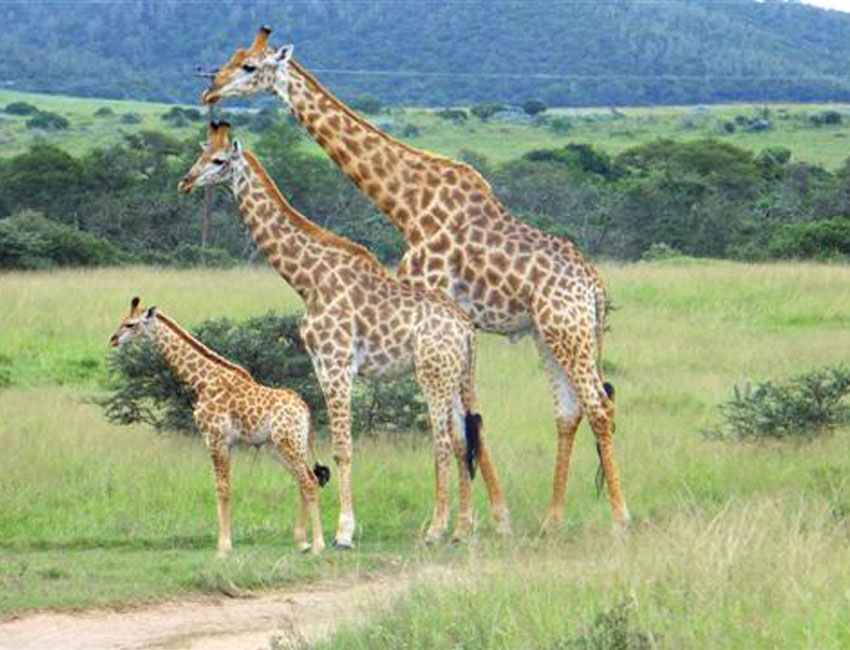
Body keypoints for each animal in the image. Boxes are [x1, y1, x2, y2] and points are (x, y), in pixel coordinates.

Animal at [108, 296, 329, 556]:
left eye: (130, 324)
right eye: (123, 319)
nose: (113, 339)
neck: (202, 381)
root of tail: (305, 409)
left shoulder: (215, 438)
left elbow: (221, 488)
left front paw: (223, 548)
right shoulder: (227, 443)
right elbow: (225, 487)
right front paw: (225, 544)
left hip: (288, 443)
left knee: (310, 481)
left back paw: (318, 545)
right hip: (283, 446)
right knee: (302, 481)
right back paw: (302, 542)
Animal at [178, 121, 510, 548]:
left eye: (219, 161)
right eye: (200, 154)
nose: (186, 182)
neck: (307, 280)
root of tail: (466, 328)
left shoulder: (338, 363)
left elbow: (343, 448)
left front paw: (344, 532)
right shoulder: (321, 365)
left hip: (432, 374)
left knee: (440, 442)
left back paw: (436, 529)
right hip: (455, 375)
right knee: (460, 440)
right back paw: (463, 529)